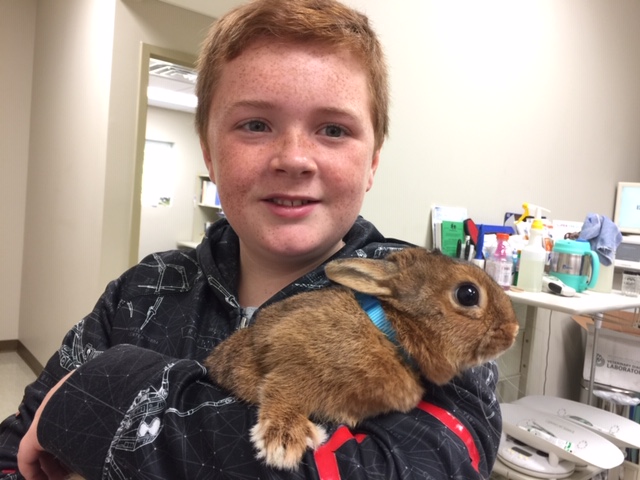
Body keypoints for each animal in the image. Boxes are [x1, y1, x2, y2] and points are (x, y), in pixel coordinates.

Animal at [206, 249, 520, 470]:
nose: (514, 330)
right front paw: (284, 440)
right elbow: (283, 388)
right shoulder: (292, 351)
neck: (391, 332)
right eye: (468, 294)